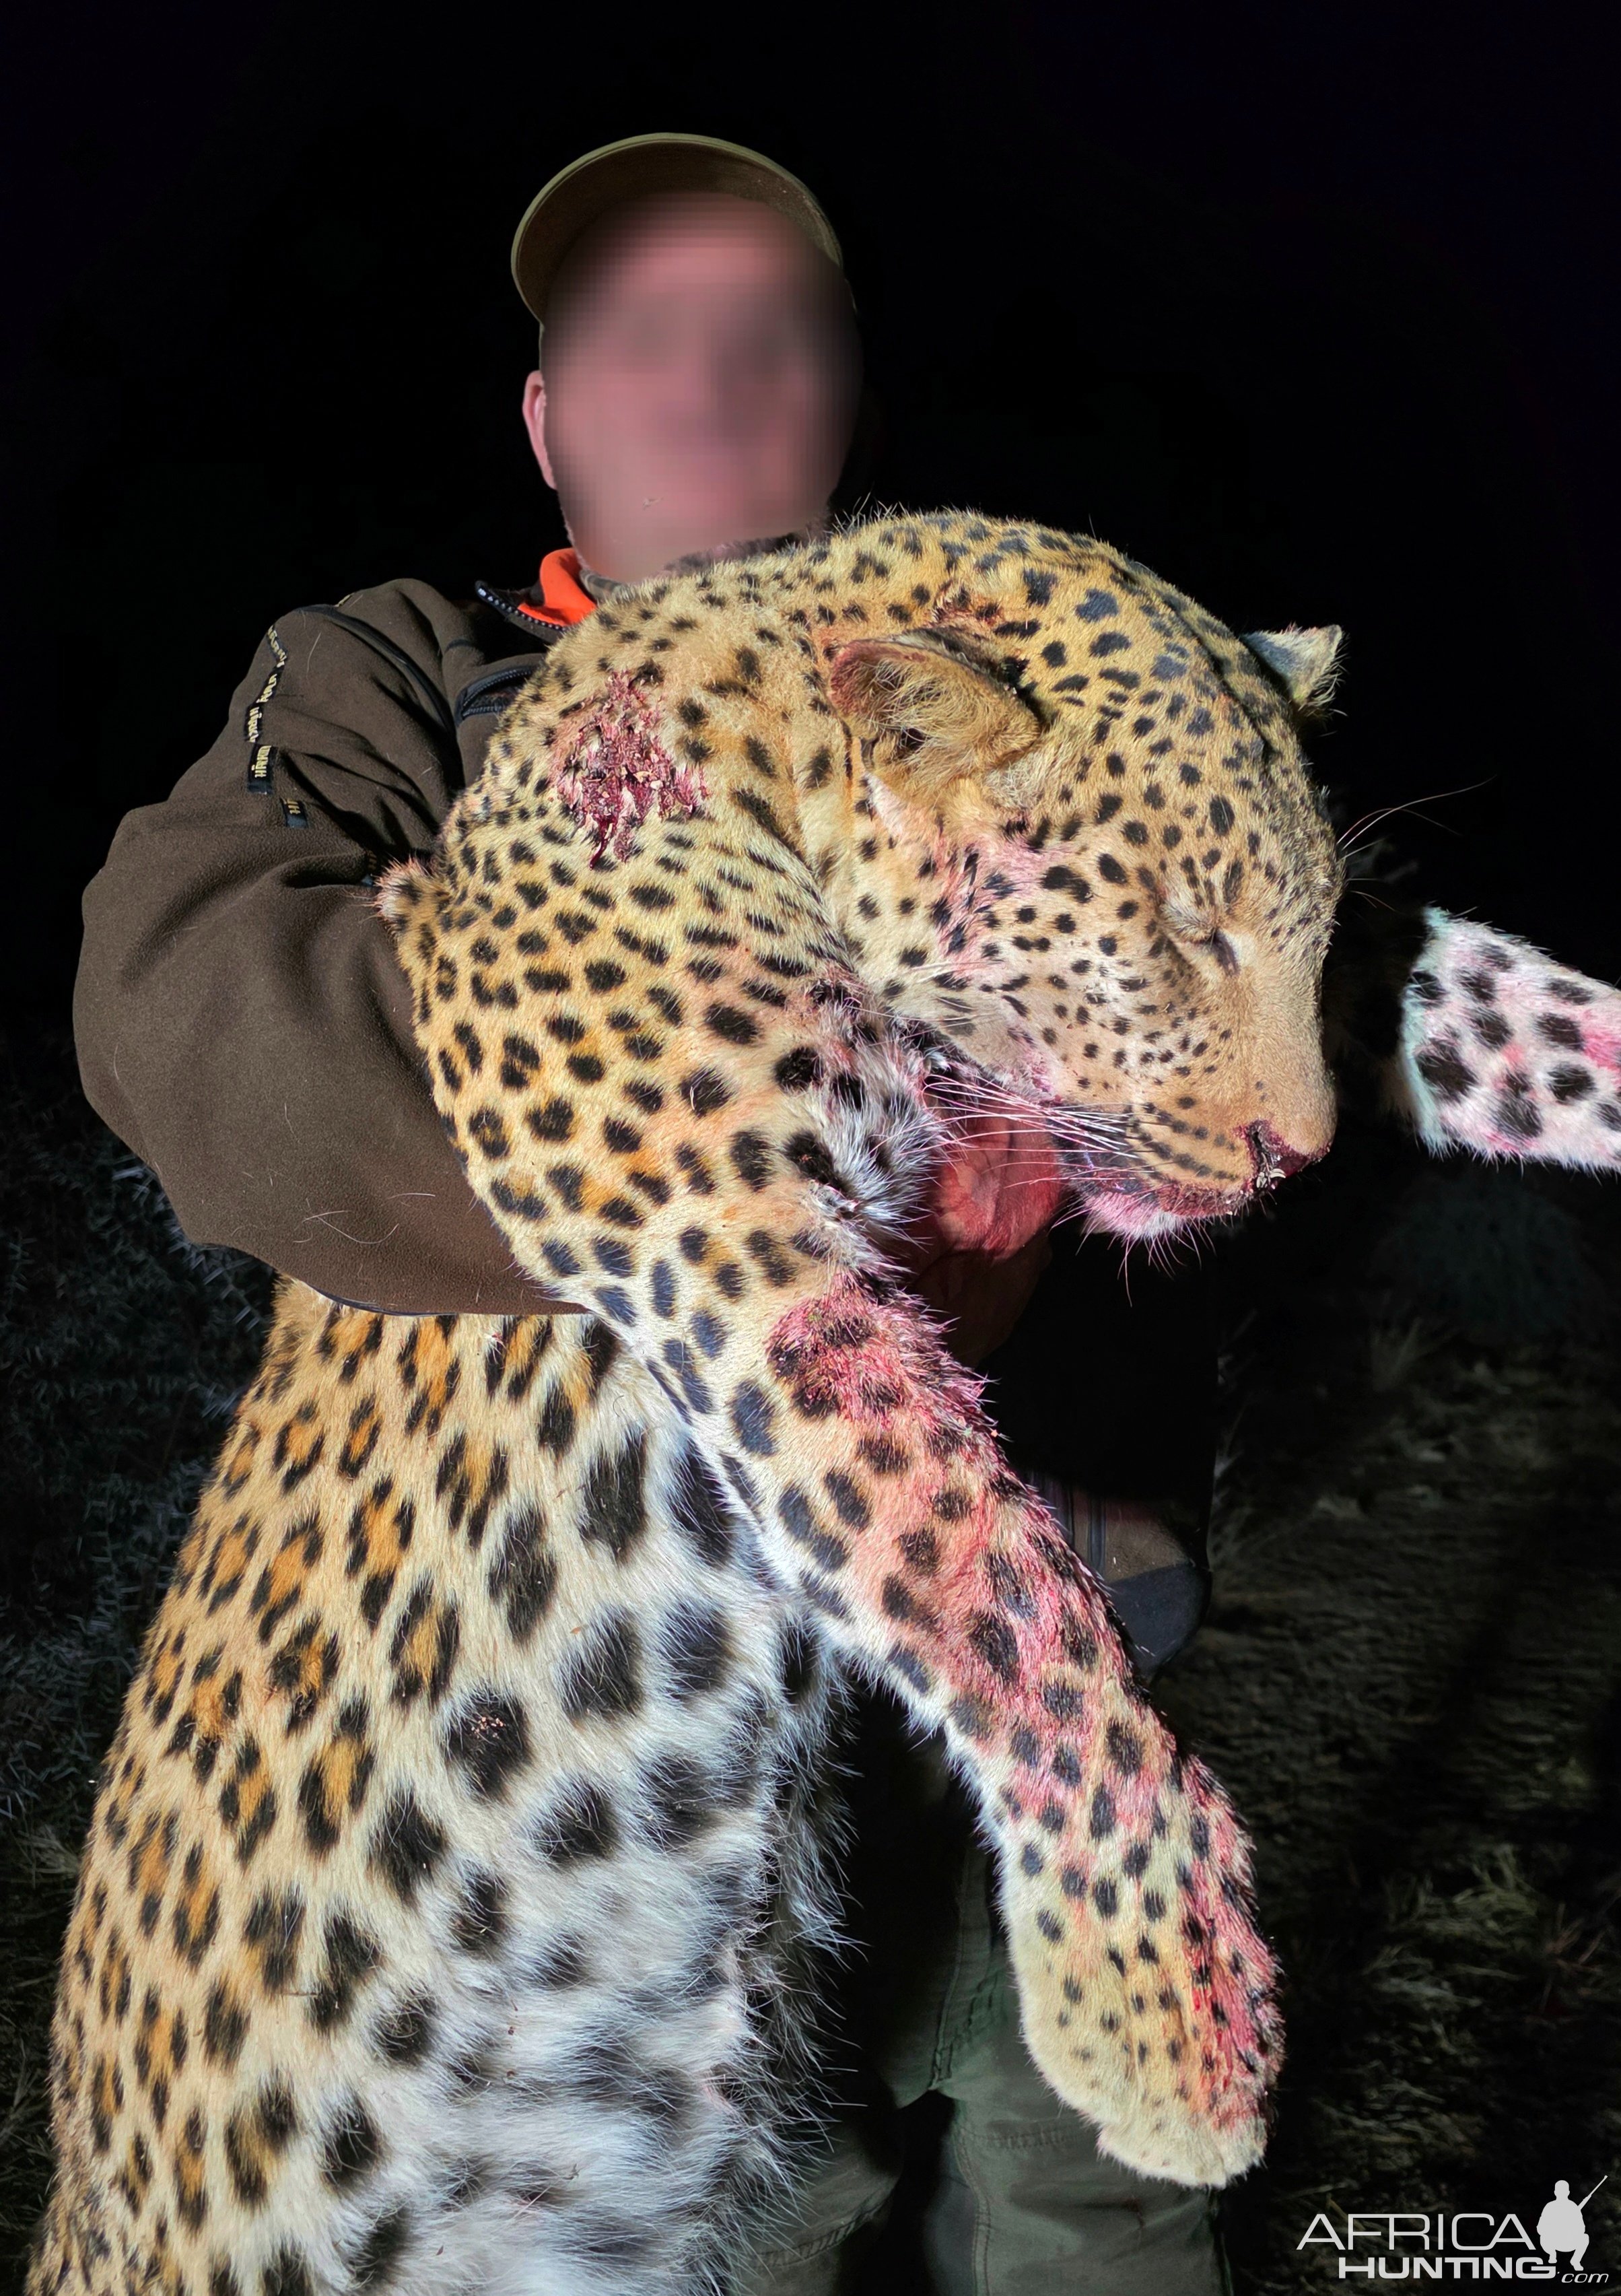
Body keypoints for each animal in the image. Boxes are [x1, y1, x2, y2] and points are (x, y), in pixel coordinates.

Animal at [31, 512, 1621, 2296]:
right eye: (1183, 929)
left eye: (1306, 930)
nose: (1303, 1154)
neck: (760, 764)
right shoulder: (732, 1251)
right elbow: (1002, 1594)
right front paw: (1163, 2015)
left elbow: (1489, 1009)